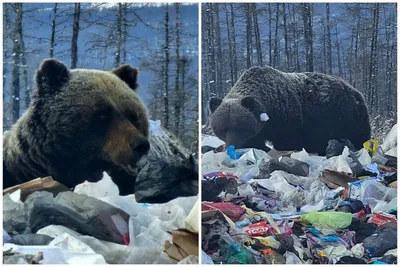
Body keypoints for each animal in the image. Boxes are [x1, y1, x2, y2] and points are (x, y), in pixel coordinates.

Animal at [209, 65, 372, 156]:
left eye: (240, 127)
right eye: (222, 129)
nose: (232, 146)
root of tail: (354, 90)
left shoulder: (288, 120)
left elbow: (288, 142)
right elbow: (255, 142)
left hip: (345, 116)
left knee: (358, 136)